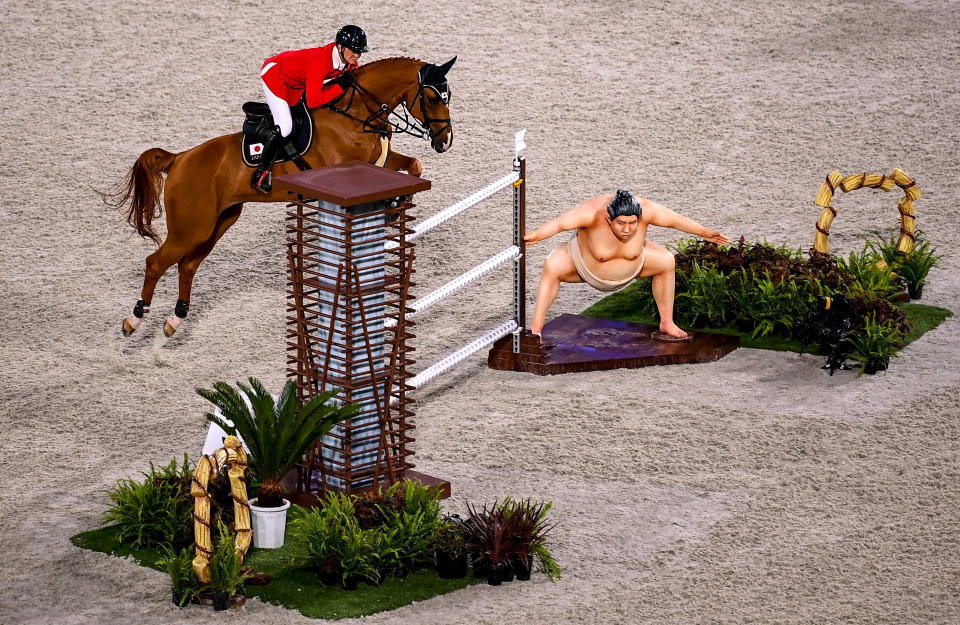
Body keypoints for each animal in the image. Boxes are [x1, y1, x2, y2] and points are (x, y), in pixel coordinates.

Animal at [103, 55, 456, 336]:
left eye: (447, 96)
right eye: (432, 98)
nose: (445, 140)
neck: (355, 115)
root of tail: (179, 159)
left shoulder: (381, 161)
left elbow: (414, 166)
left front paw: (396, 205)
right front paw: (393, 206)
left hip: (218, 223)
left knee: (187, 266)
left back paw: (174, 320)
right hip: (191, 227)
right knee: (155, 263)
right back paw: (134, 320)